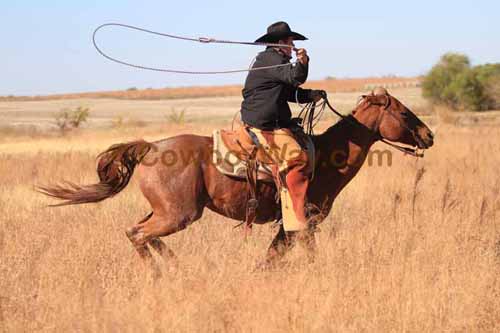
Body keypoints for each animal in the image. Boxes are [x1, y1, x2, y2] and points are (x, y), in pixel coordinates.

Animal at [40, 88, 434, 264]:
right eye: (403, 112)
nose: (429, 135)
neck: (325, 157)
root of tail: (151, 147)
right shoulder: (305, 222)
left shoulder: (286, 228)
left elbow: (271, 260)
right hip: (178, 214)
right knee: (138, 234)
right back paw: (164, 272)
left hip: (164, 212)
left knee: (136, 231)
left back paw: (173, 266)